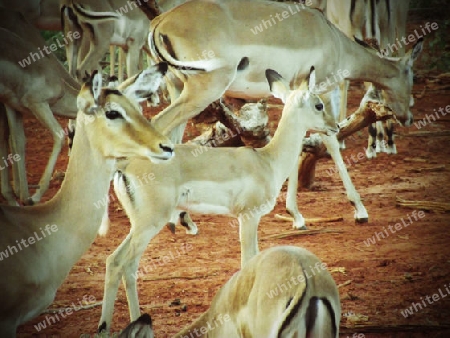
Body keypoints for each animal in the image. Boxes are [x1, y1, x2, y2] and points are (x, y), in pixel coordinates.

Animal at [0, 9, 80, 205]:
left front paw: (23, 196)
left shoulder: (12, 105)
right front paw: (33, 197)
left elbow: (17, 142)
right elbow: (58, 134)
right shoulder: (38, 104)